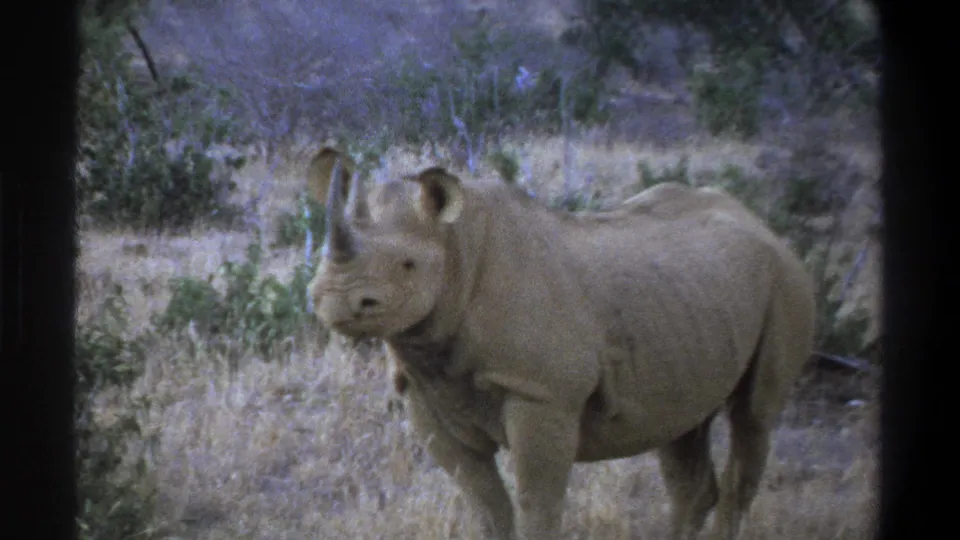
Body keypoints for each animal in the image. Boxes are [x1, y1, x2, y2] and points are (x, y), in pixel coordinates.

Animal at [308, 147, 816, 540]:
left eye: (408, 265)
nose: (334, 299)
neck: (455, 248)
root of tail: (762, 223)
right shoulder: (423, 389)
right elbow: (485, 502)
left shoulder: (542, 394)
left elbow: (538, 502)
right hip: (695, 304)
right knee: (682, 429)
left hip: (786, 279)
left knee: (754, 415)